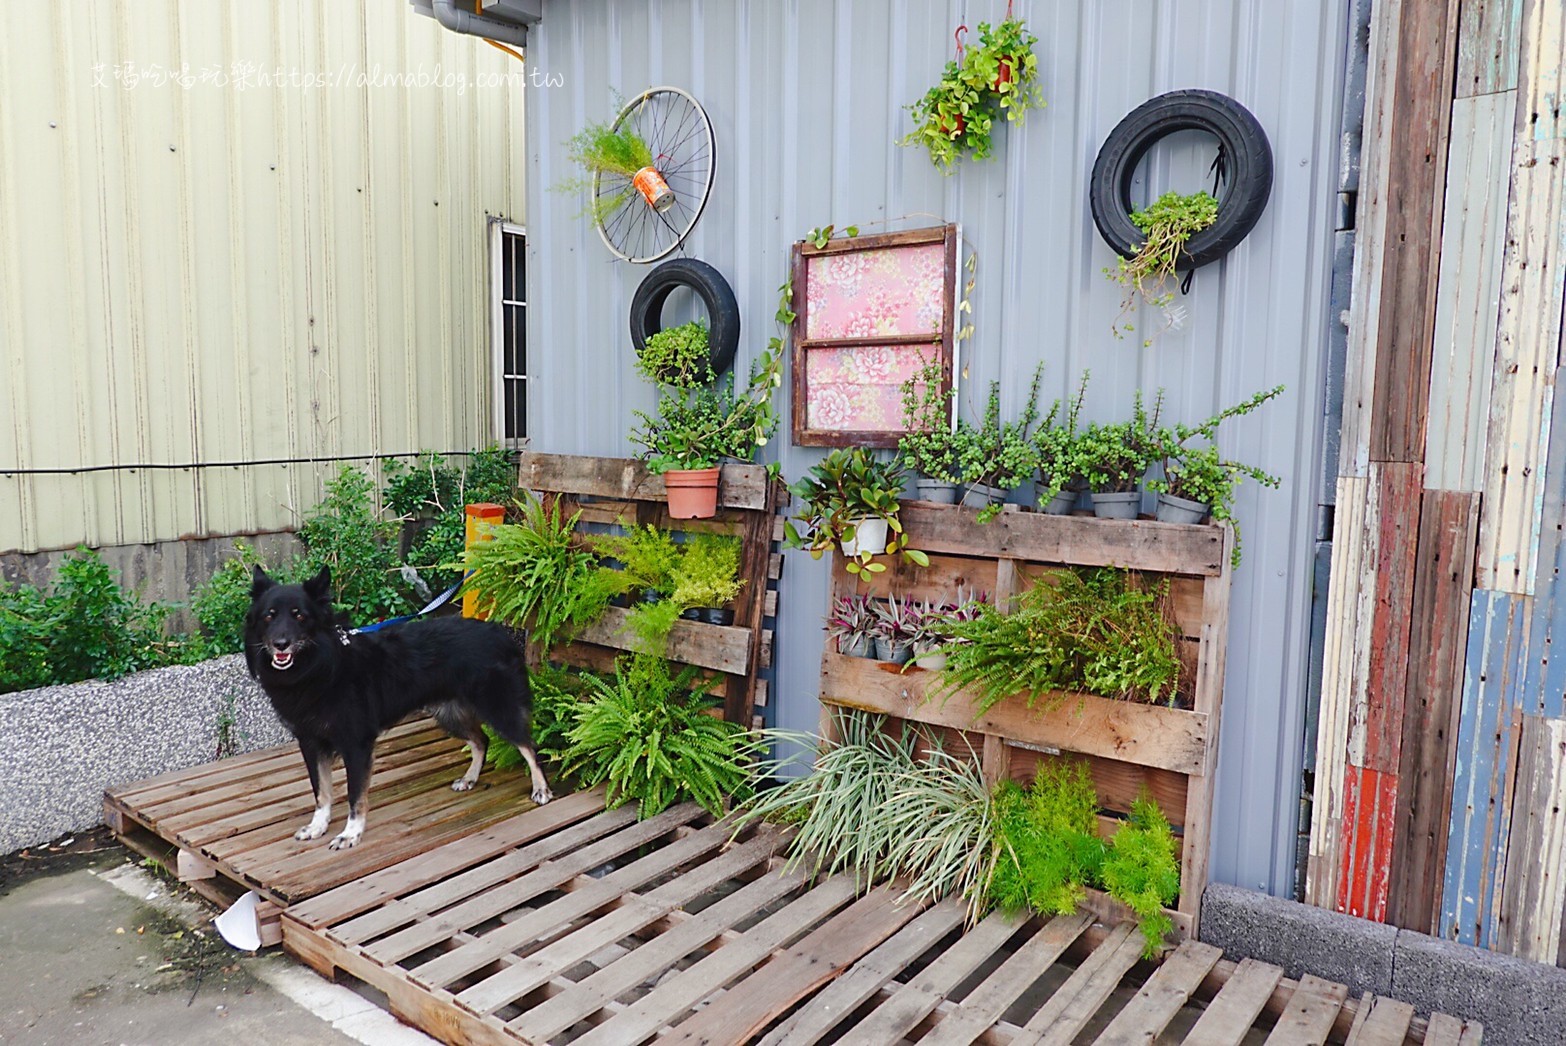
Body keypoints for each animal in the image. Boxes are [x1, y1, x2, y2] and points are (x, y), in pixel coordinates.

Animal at [242, 563, 551, 851]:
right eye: (269, 615)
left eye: (300, 616)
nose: (281, 644)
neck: (319, 666)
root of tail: (499, 631)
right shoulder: (310, 742)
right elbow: (322, 791)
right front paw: (318, 826)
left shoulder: (356, 744)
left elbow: (355, 795)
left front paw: (350, 833)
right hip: (450, 714)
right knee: (481, 740)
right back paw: (470, 778)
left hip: (499, 709)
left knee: (529, 746)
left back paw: (541, 790)